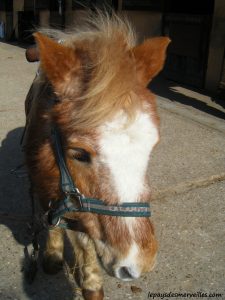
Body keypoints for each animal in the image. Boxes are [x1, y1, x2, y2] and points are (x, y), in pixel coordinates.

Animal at [23, 12, 170, 300]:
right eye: (79, 153)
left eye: (151, 147)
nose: (137, 262)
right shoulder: (46, 185)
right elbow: (54, 222)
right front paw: (53, 255)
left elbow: (84, 238)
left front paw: (90, 283)